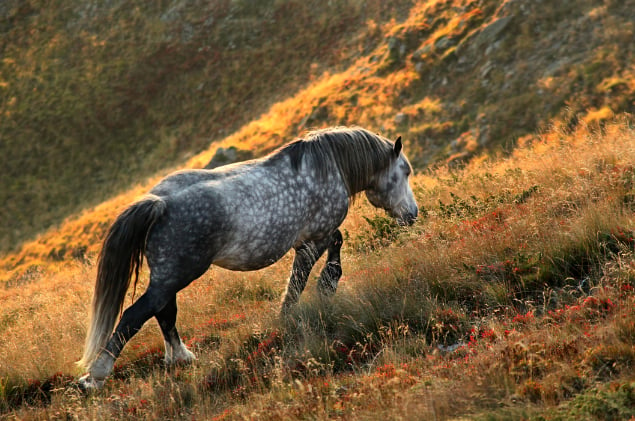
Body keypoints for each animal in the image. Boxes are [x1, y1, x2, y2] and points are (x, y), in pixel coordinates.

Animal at [78, 126, 418, 388]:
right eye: (404, 172)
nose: (412, 215)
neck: (328, 167)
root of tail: (159, 202)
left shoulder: (311, 238)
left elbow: (322, 258)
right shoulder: (314, 239)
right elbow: (303, 276)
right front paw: (307, 302)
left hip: (168, 275)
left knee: (163, 312)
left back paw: (181, 358)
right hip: (177, 274)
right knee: (135, 315)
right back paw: (95, 377)